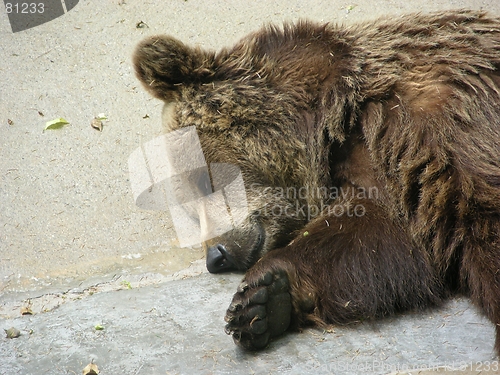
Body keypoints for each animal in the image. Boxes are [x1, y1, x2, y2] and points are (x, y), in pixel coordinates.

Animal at [133, 9, 500, 356]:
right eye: (191, 215)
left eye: (202, 181)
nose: (215, 256)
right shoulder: (387, 180)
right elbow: (374, 239)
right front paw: (263, 299)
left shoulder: (446, 127)